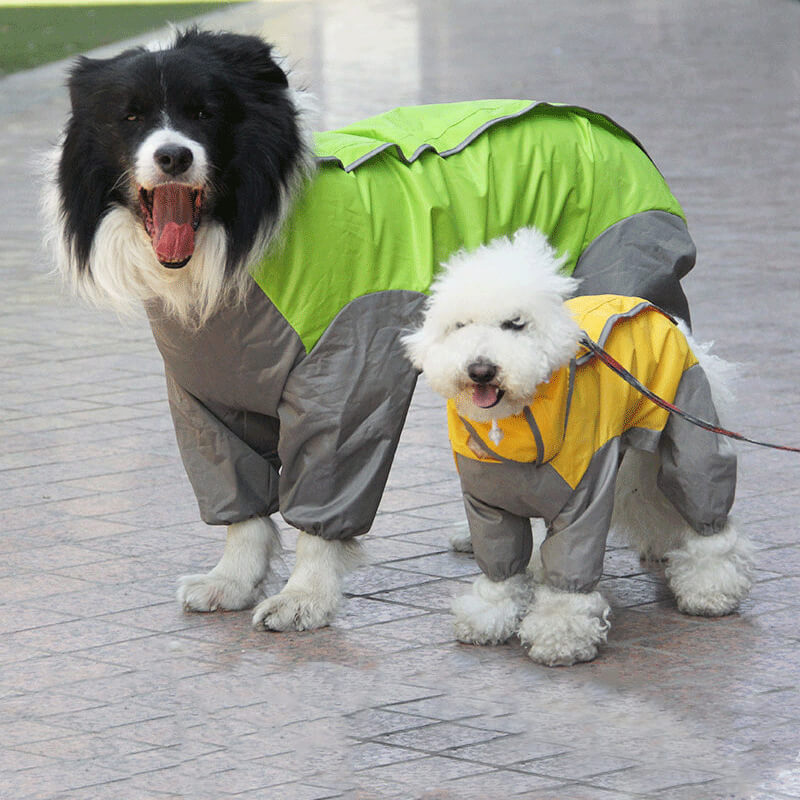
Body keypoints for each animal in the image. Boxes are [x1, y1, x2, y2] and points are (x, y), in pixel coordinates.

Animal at [48, 28, 700, 636]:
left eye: (203, 113)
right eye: (130, 117)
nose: (174, 158)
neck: (239, 241)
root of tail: (609, 131)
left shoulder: (342, 377)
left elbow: (323, 492)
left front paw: (303, 598)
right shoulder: (204, 390)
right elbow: (238, 498)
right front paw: (231, 581)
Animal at [406, 228, 756, 664]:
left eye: (515, 324)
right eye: (460, 326)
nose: (480, 370)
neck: (517, 423)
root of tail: (661, 314)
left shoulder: (583, 496)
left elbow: (571, 567)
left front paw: (560, 634)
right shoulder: (488, 504)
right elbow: (501, 564)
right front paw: (491, 614)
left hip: (688, 437)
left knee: (707, 511)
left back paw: (711, 588)